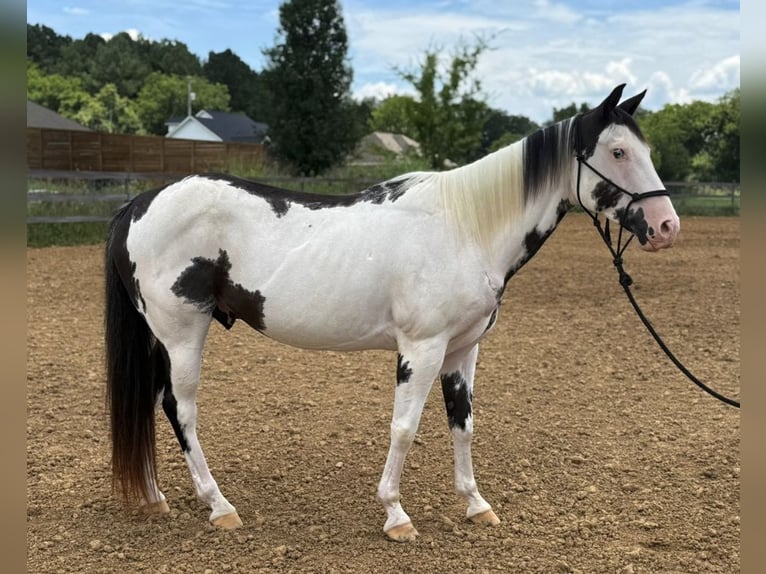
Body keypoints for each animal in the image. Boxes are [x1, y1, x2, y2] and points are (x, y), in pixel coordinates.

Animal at [104, 83, 680, 542]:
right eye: (618, 151)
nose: (666, 226)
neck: (465, 228)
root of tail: (139, 204)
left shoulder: (462, 350)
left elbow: (463, 424)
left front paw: (476, 505)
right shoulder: (421, 350)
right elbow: (404, 427)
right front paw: (396, 515)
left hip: (161, 338)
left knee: (151, 404)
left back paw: (156, 498)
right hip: (182, 335)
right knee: (179, 409)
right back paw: (219, 506)